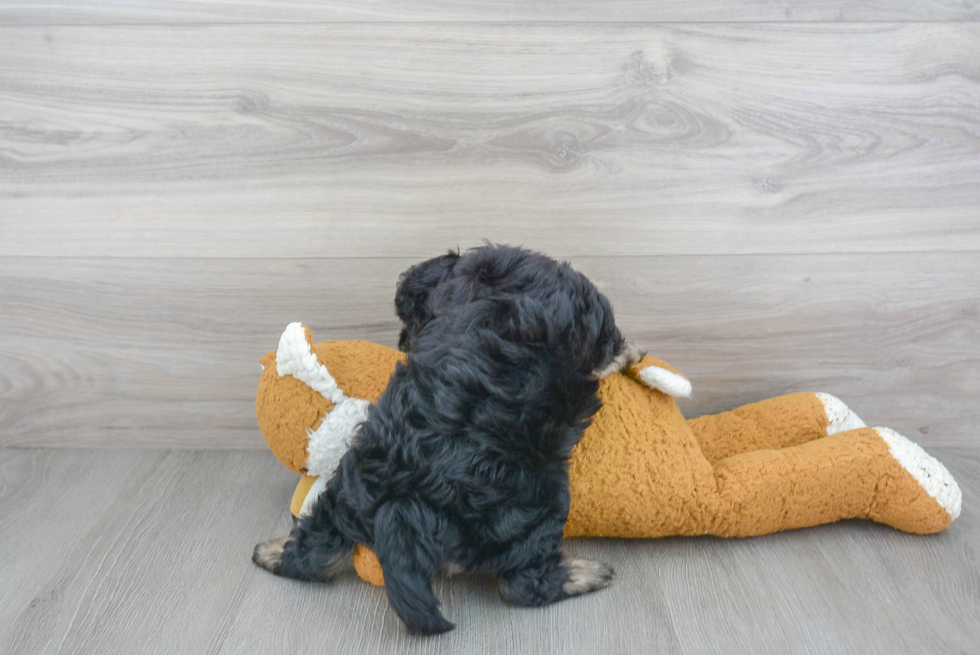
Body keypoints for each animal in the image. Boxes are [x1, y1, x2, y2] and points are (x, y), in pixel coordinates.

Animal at [255, 243, 636, 632]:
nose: (404, 343)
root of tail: (404, 501)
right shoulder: (593, 317)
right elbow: (612, 348)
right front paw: (627, 356)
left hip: (349, 490)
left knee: (315, 547)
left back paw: (272, 553)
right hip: (534, 503)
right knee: (524, 584)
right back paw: (587, 574)